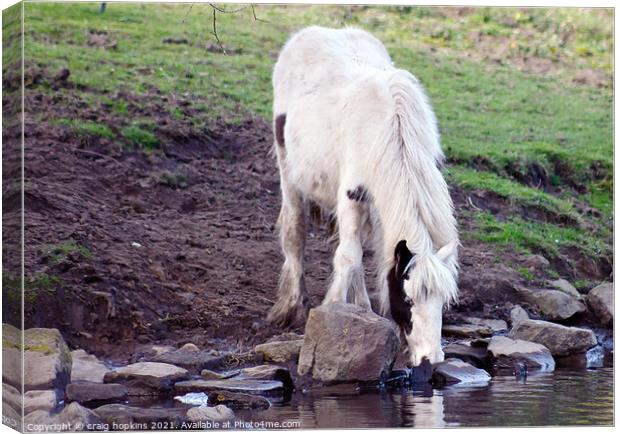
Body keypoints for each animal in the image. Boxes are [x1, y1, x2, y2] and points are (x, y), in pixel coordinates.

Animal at [268, 26, 460, 366]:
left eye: (443, 301)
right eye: (407, 299)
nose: (431, 358)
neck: (393, 127)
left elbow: (367, 255)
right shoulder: (351, 196)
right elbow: (347, 256)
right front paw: (330, 312)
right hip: (289, 171)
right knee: (295, 230)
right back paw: (291, 305)